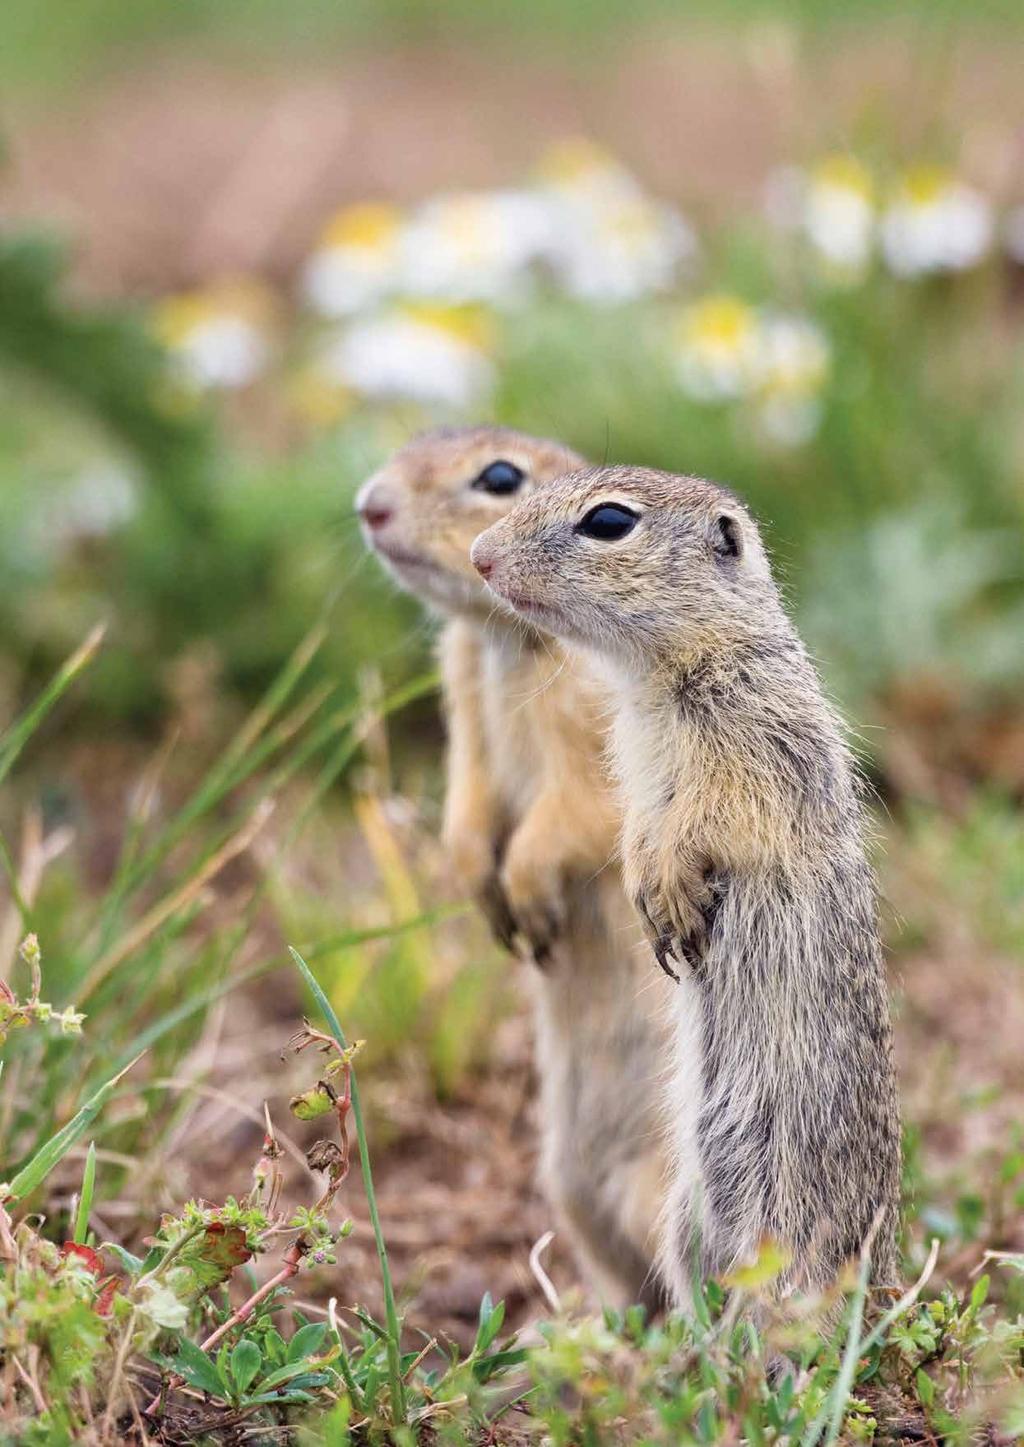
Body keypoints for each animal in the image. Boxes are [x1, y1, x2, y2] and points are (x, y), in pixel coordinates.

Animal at [355, 428, 676, 1313]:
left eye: (500, 477)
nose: (369, 505)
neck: (505, 641)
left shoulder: (595, 739)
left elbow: (576, 819)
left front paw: (528, 899)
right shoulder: (465, 709)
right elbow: (467, 810)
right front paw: (485, 896)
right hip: (568, 1190)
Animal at [468, 468, 902, 1308]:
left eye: (608, 521)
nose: (480, 556)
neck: (658, 674)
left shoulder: (755, 744)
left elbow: (708, 820)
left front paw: (670, 888)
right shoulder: (636, 777)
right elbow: (638, 833)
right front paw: (650, 896)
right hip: (686, 1218)